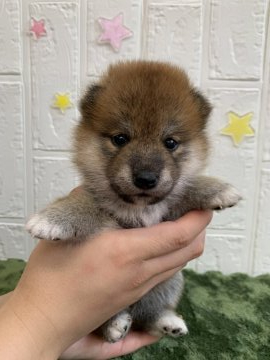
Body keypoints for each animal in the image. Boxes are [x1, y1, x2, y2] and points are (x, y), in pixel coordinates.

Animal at [26, 62, 242, 344]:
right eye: (120, 139)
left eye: (170, 142)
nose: (146, 178)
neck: (141, 207)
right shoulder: (103, 208)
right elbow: (83, 202)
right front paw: (53, 219)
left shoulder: (170, 209)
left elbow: (186, 188)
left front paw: (218, 190)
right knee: (115, 318)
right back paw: (115, 325)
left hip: (170, 283)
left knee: (148, 313)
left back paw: (167, 322)